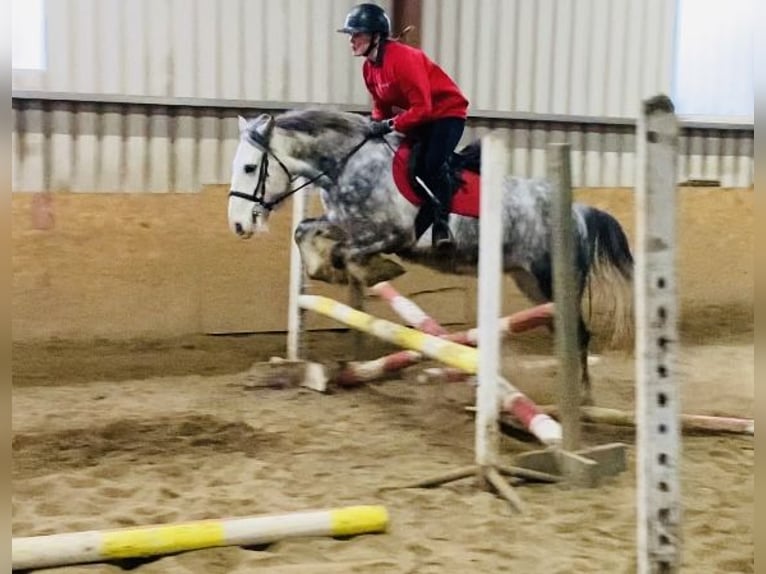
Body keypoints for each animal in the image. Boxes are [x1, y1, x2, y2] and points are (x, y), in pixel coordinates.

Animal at [228, 109, 636, 404]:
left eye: (250, 167)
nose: (238, 224)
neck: (347, 164)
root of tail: (578, 212)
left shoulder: (393, 234)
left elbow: (349, 253)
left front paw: (373, 270)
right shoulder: (343, 223)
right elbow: (305, 232)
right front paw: (328, 267)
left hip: (552, 281)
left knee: (579, 335)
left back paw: (582, 400)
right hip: (531, 284)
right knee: (564, 333)